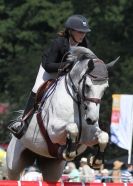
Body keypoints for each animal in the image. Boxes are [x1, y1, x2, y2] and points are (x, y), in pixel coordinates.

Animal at [5, 46, 119, 182]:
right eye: (87, 86)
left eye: (105, 88)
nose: (92, 119)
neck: (77, 102)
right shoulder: (53, 131)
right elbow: (72, 127)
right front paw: (69, 152)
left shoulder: (87, 135)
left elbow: (103, 136)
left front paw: (96, 160)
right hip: (14, 165)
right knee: (13, 176)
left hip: (53, 168)